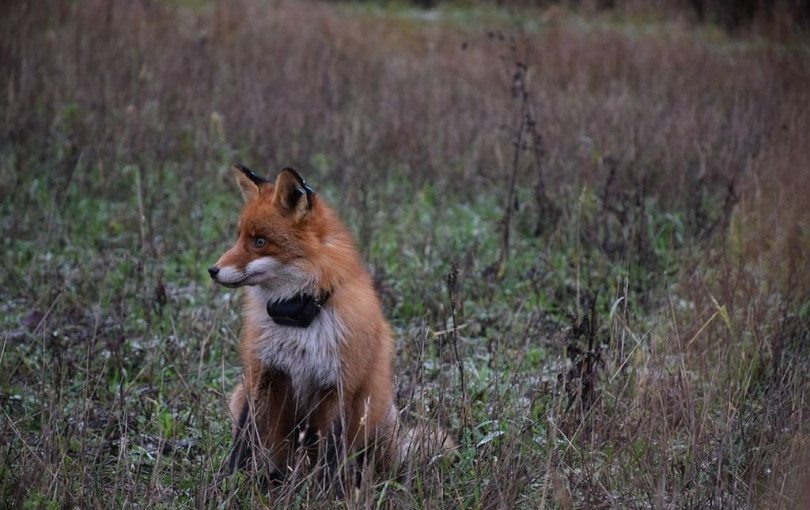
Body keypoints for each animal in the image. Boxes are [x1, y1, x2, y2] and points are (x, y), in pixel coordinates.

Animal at [207, 163, 448, 490]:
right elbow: (243, 439)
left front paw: (329, 492)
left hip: (374, 413)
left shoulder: (339, 385)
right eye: (239, 237)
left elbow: (332, 451)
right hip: (240, 395)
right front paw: (228, 483)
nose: (213, 270)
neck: (299, 320)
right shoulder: (262, 375)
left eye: (260, 242)